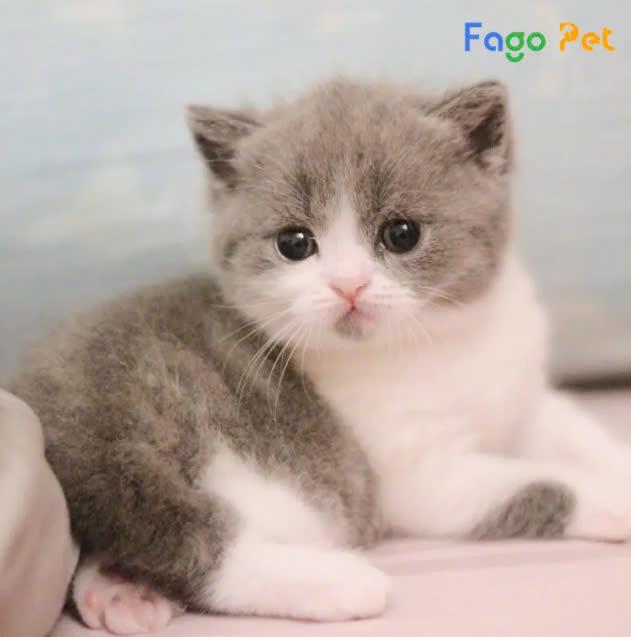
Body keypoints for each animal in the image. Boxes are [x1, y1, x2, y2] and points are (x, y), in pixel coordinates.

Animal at [9, 77, 631, 635]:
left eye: (401, 233)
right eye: (295, 243)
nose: (348, 285)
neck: (440, 342)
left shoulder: (525, 396)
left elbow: (573, 429)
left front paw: (615, 466)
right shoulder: (416, 477)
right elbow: (538, 480)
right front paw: (612, 497)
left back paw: (120, 593)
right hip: (171, 442)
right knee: (195, 544)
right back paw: (338, 582)